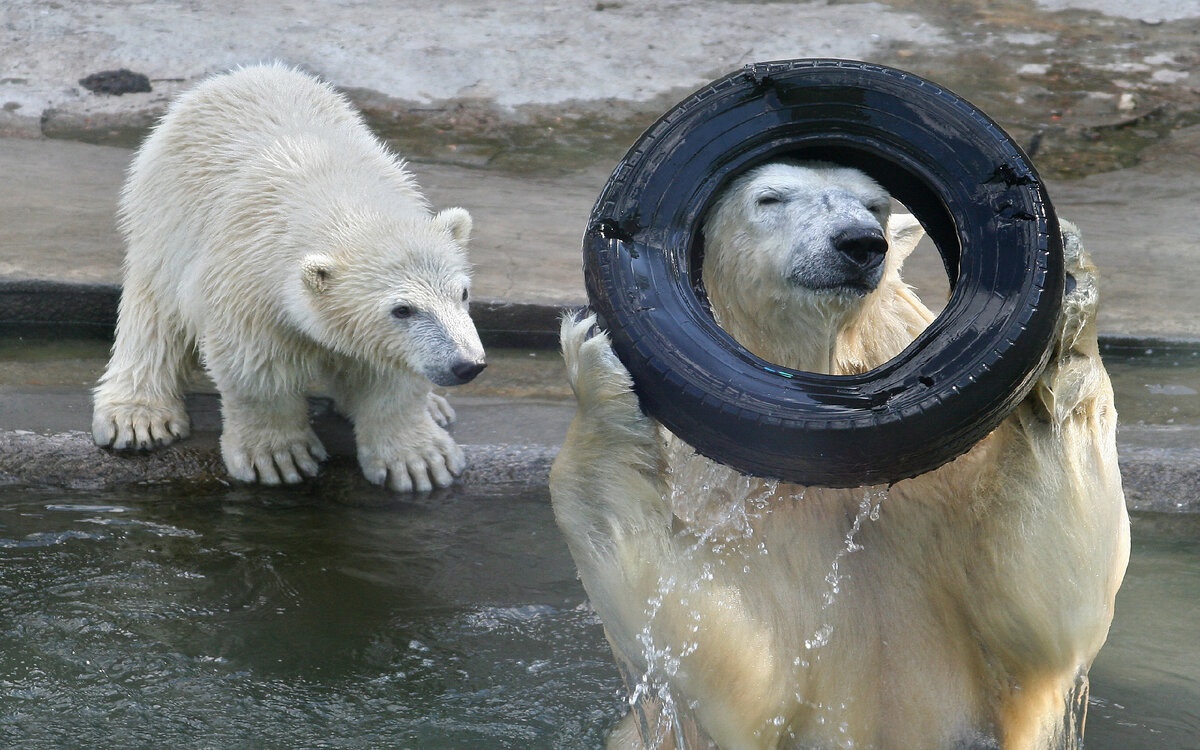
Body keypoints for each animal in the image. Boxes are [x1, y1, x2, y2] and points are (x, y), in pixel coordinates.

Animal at [549, 160, 1128, 744]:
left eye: (875, 204)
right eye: (770, 198)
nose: (859, 243)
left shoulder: (940, 499)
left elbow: (1044, 610)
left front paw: (1071, 294)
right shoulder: (732, 508)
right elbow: (729, 656)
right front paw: (596, 366)